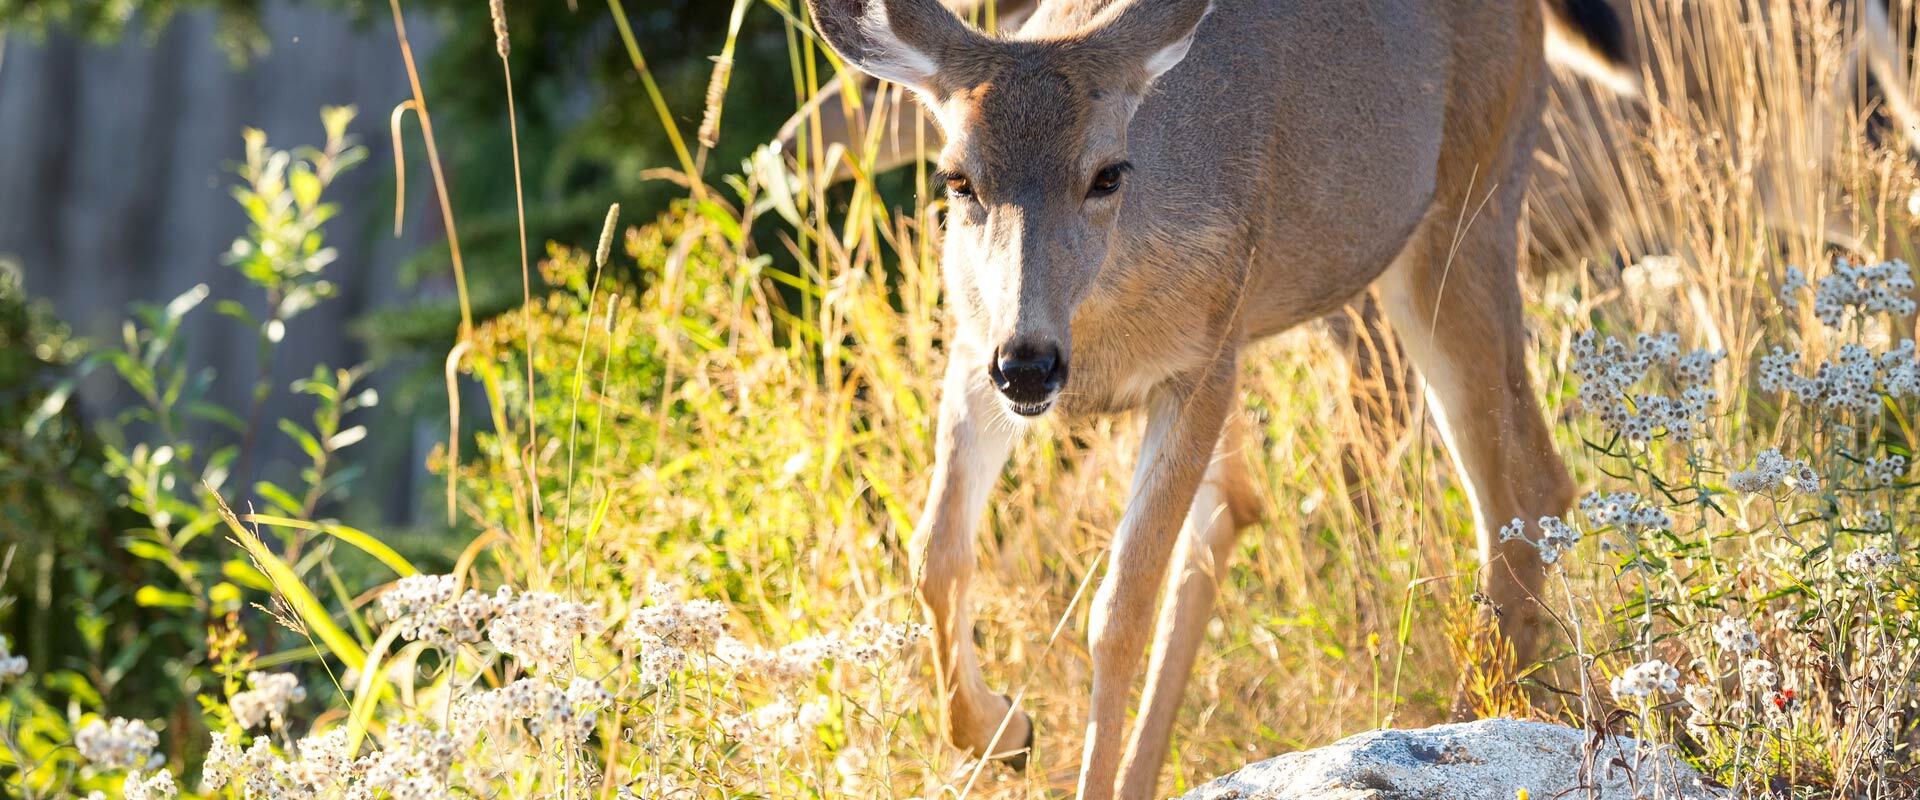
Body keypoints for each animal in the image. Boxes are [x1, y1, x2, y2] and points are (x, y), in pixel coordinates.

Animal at [802, 0, 1628, 794]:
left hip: (1463, 213)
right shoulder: (977, 353)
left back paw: (1466, 722)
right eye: (957, 179)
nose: (1032, 367)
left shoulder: (1202, 365)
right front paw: (1004, 733)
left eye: (1107, 173)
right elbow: (934, 553)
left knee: (1524, 487)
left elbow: (1121, 611)